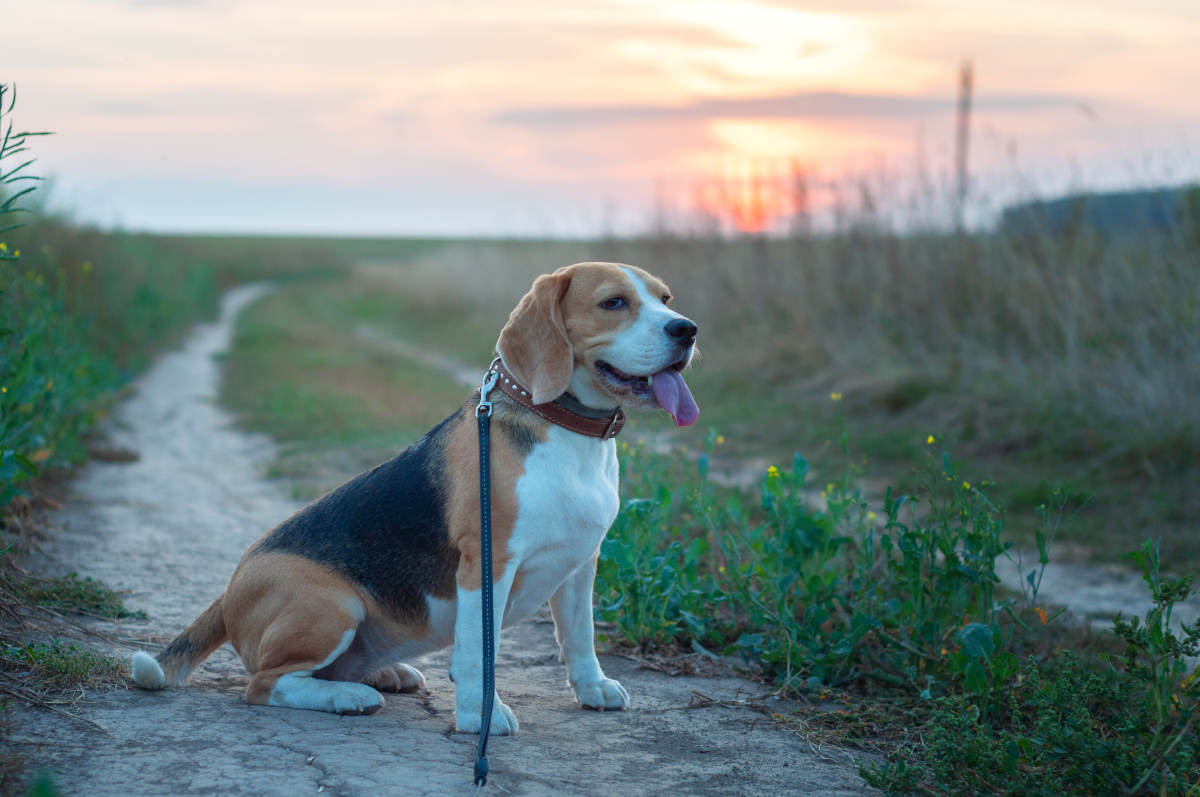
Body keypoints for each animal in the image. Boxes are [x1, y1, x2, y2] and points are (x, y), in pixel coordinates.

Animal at [129, 261, 700, 734]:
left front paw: (593, 688)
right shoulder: (487, 564)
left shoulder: (581, 563)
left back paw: (381, 675)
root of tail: (229, 592)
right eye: (613, 302)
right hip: (331, 604)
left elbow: (580, 637)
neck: (567, 431)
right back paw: (346, 698)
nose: (687, 329)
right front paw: (480, 717)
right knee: (264, 684)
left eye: (666, 297)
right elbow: (478, 653)